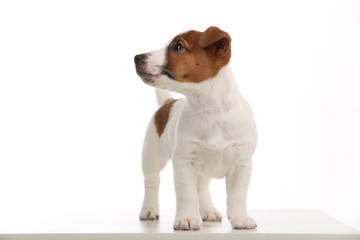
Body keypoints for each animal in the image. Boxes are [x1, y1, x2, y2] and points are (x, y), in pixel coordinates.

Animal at [134, 26, 256, 231]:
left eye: (177, 46)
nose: (137, 57)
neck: (210, 111)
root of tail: (168, 102)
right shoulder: (184, 161)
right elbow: (187, 194)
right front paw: (187, 219)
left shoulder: (242, 164)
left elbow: (238, 194)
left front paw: (240, 218)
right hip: (152, 156)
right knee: (152, 181)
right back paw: (149, 210)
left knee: (202, 187)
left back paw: (208, 211)